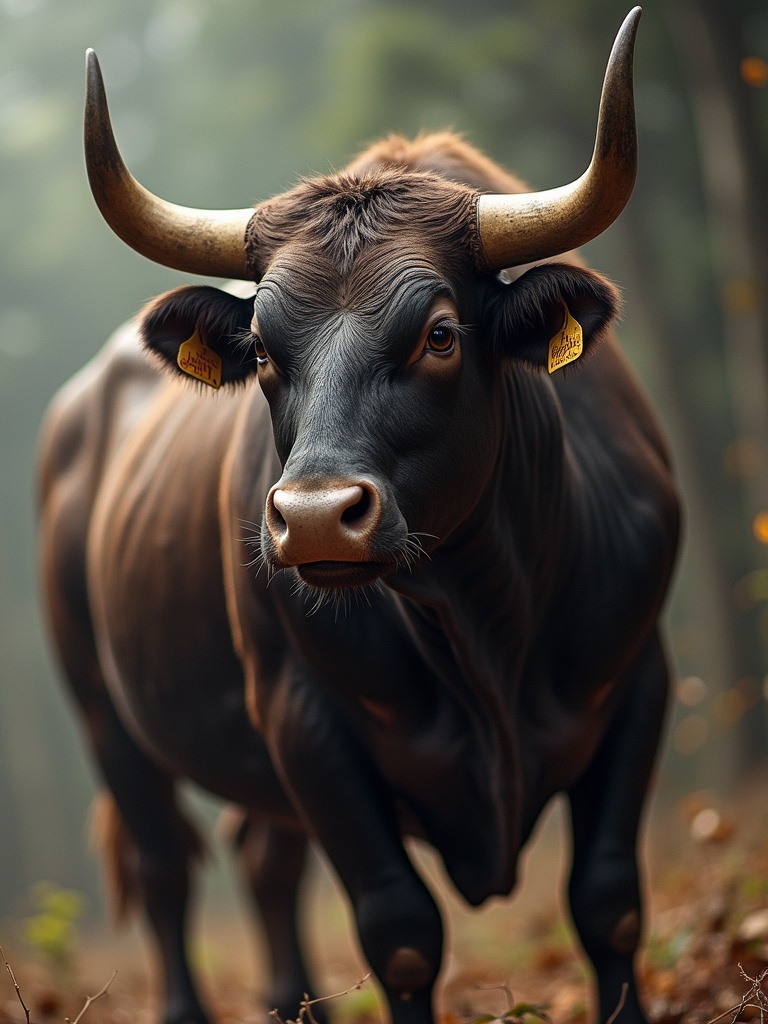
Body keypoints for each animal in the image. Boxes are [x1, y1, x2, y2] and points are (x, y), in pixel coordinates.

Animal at [40, 8, 679, 1024]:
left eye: (441, 334)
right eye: (263, 349)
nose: (312, 518)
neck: (483, 622)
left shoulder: (638, 677)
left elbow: (608, 899)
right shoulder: (306, 724)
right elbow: (402, 935)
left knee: (262, 861)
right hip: (105, 714)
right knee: (165, 869)